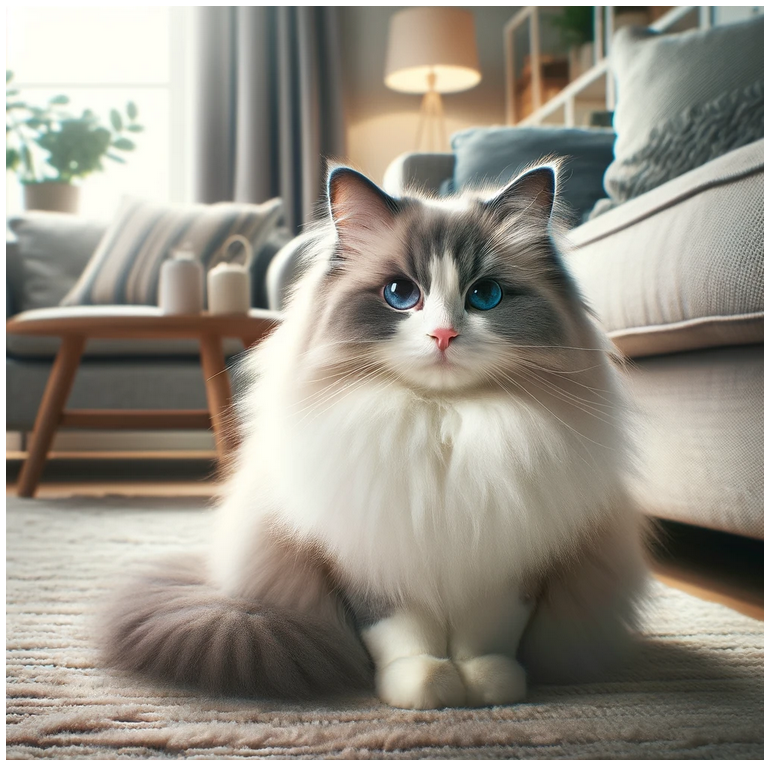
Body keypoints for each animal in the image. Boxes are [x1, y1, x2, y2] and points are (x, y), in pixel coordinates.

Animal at [103, 165, 648, 712]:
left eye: (485, 295)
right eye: (400, 294)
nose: (444, 336)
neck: (442, 422)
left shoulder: (507, 557)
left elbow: (488, 635)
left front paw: (486, 687)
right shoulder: (370, 552)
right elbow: (400, 633)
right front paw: (425, 688)